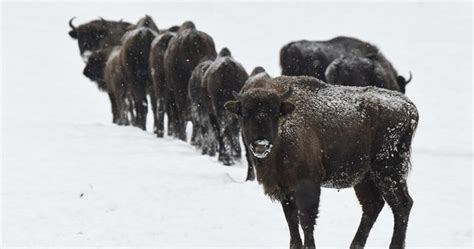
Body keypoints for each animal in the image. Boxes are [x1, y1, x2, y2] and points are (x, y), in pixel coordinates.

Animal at [225, 73, 418, 248]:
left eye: (274, 113)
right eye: (245, 114)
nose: (261, 145)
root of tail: (409, 107)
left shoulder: (308, 184)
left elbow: (306, 221)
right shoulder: (285, 189)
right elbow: (292, 222)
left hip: (388, 170)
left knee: (402, 205)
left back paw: (394, 245)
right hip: (366, 177)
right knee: (373, 205)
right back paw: (354, 245)